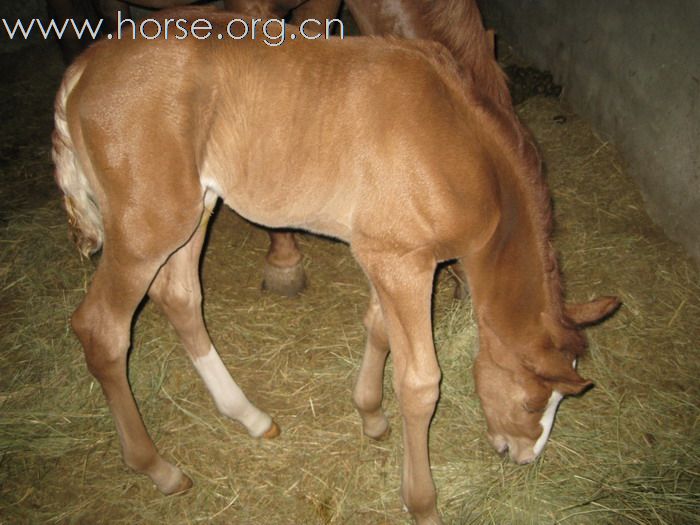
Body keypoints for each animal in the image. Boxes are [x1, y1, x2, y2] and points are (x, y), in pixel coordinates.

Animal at [53, 8, 616, 524]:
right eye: (531, 403)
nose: (522, 456)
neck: (458, 151)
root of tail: (83, 67)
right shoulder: (404, 266)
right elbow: (420, 383)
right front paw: (422, 503)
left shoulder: (389, 254)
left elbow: (378, 329)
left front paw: (370, 416)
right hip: (148, 227)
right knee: (101, 329)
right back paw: (160, 468)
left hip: (198, 208)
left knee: (181, 296)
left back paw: (251, 417)